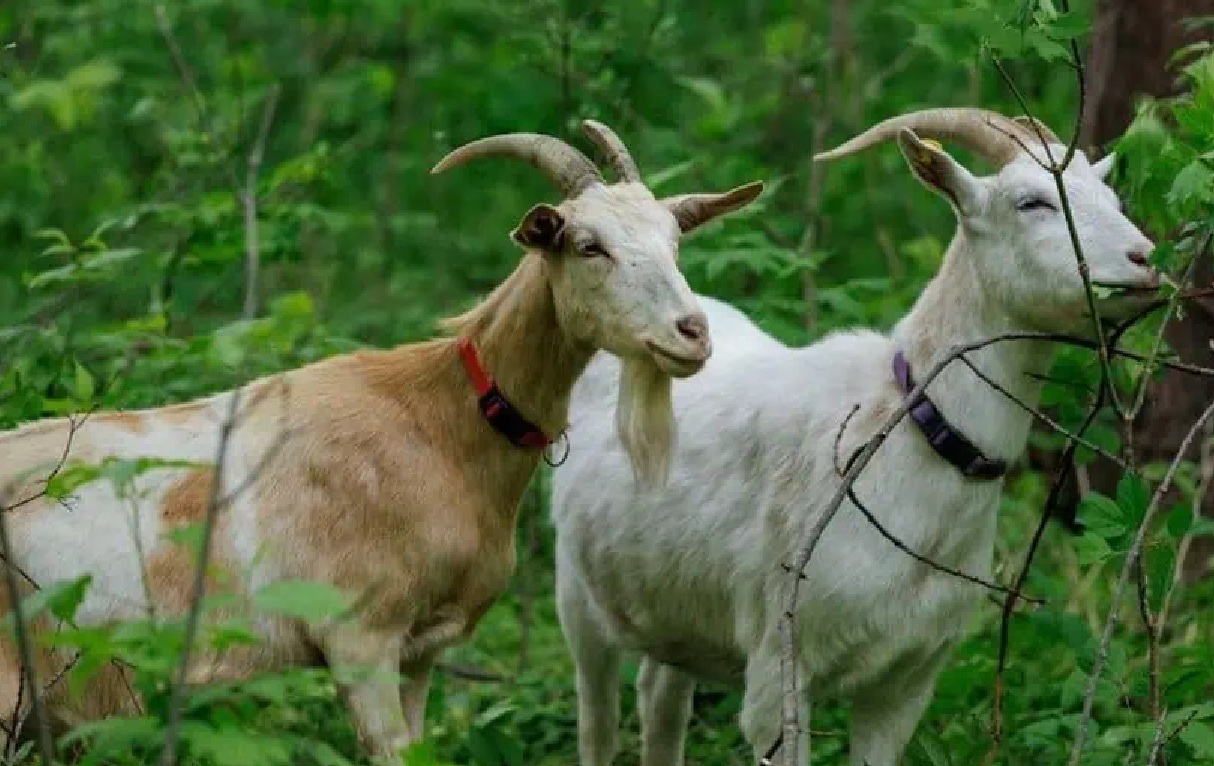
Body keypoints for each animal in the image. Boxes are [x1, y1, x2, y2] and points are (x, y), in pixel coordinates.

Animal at [0, 120, 763, 759]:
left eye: (674, 242)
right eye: (587, 245)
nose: (691, 334)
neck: (437, 424)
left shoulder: (421, 651)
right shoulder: (358, 635)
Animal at [550, 108, 1160, 766]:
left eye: (1113, 197)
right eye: (1032, 202)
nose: (1145, 259)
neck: (904, 437)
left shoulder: (906, 682)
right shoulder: (779, 667)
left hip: (673, 607)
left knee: (660, 695)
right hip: (576, 592)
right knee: (597, 716)